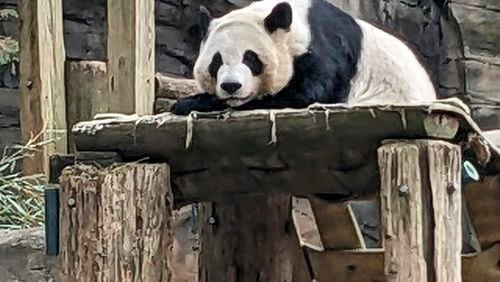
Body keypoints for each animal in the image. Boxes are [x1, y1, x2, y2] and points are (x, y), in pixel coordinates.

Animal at [170, 0, 436, 115]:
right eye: (216, 62)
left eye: (251, 59)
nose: (231, 86)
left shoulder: (326, 51)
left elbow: (305, 95)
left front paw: (191, 102)